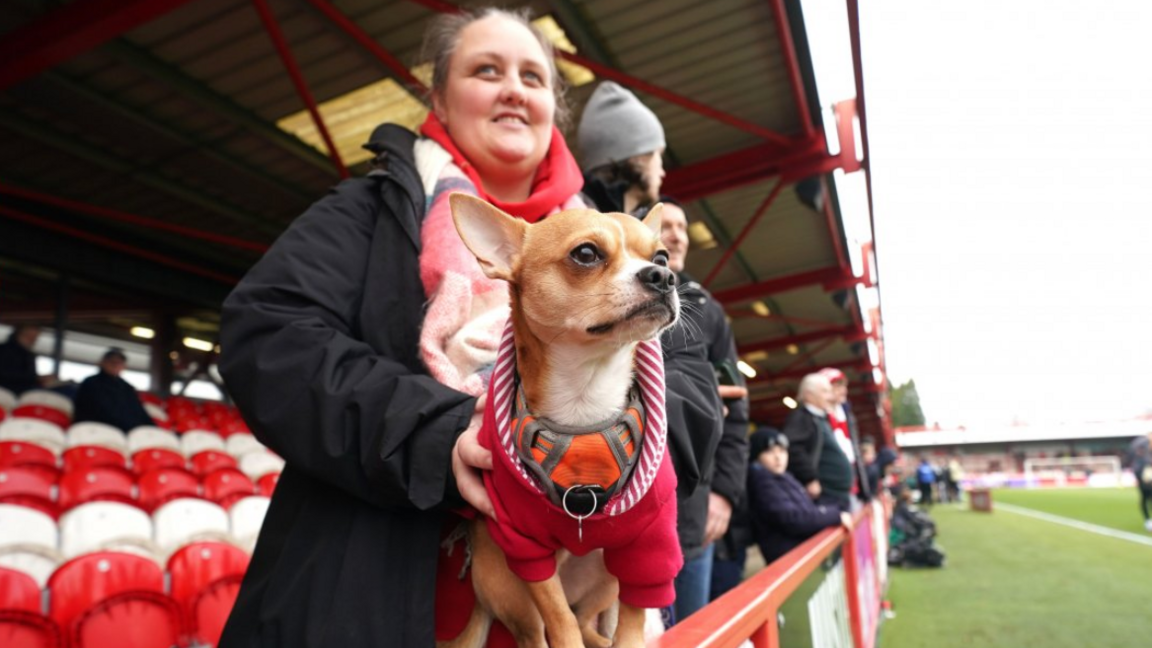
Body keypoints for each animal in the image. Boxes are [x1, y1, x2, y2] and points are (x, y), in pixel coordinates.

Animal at [442, 196, 681, 645]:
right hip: (512, 587)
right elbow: (559, 620)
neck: (585, 395)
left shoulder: (648, 548)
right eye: (586, 254)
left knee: (586, 618)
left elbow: (632, 620)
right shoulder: (526, 547)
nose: (664, 276)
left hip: (607, 573)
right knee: (542, 630)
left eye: (661, 256)